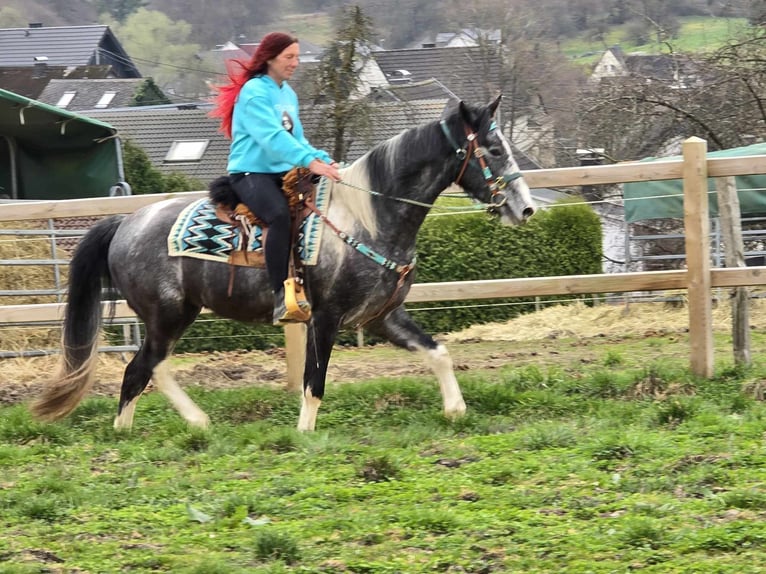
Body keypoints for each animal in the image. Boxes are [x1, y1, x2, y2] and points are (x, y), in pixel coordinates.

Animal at [31, 96, 536, 432]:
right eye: (494, 150)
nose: (525, 208)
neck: (369, 216)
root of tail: (125, 223)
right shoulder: (327, 317)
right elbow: (315, 381)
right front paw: (305, 434)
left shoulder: (383, 316)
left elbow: (438, 352)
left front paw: (455, 409)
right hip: (165, 315)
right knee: (143, 368)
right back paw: (166, 425)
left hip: (177, 315)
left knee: (146, 370)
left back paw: (172, 425)